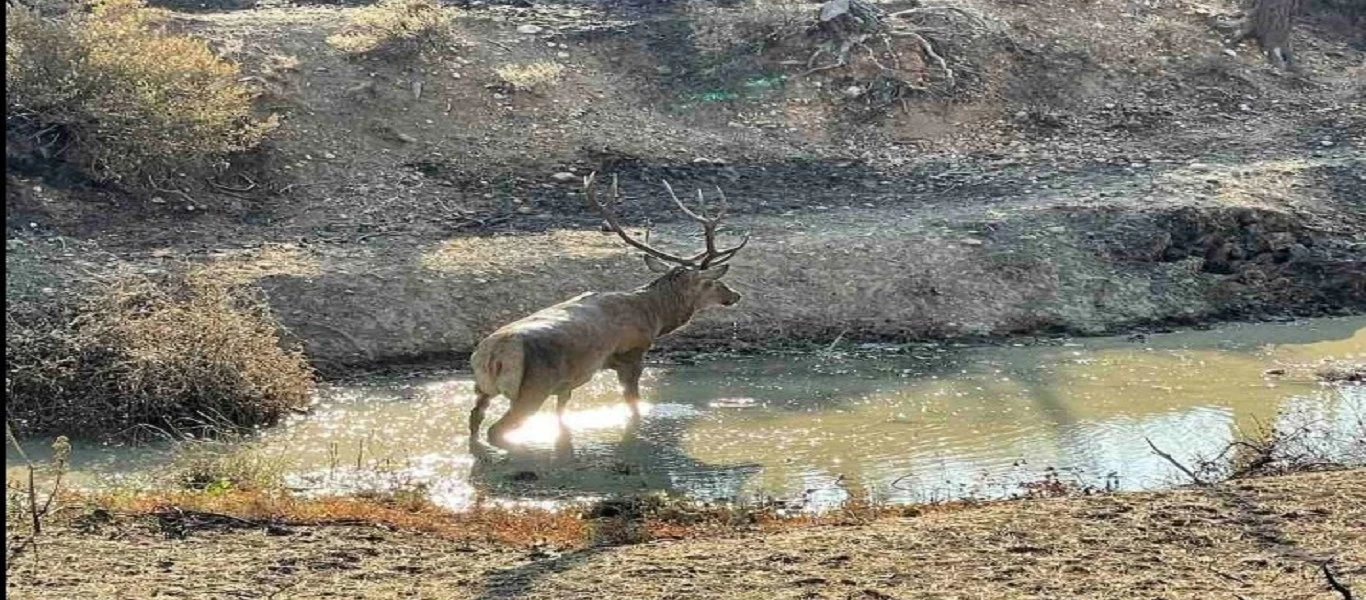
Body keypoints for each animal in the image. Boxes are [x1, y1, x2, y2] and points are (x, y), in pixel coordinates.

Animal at [467, 171, 748, 453]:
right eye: (710, 283)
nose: (735, 294)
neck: (653, 315)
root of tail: (493, 355)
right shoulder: (632, 354)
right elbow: (633, 404)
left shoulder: (568, 382)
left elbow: (562, 414)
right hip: (533, 386)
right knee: (497, 429)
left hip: (483, 386)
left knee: (475, 418)